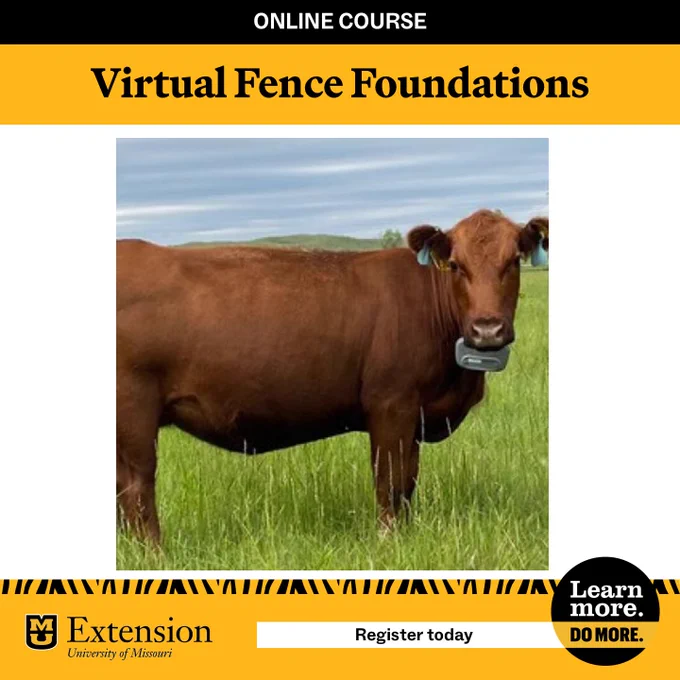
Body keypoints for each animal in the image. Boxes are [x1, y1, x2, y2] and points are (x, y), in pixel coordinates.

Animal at [116, 209, 548, 543]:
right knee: (138, 487)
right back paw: (155, 555)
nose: (487, 329)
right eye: (456, 265)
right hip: (135, 410)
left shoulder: (416, 417)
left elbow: (408, 483)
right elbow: (389, 482)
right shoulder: (391, 406)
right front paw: (389, 542)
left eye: (514, 261)